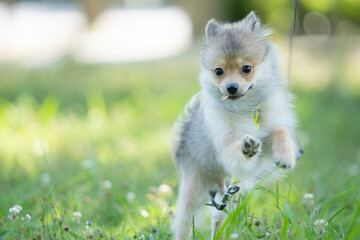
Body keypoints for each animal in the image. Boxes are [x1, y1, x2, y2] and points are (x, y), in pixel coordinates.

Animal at [172, 11, 298, 240]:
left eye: (246, 68)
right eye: (218, 71)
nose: (231, 87)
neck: (246, 108)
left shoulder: (272, 127)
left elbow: (280, 131)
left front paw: (285, 154)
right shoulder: (226, 141)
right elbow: (234, 152)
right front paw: (246, 147)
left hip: (229, 195)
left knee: (218, 216)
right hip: (194, 184)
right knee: (184, 219)